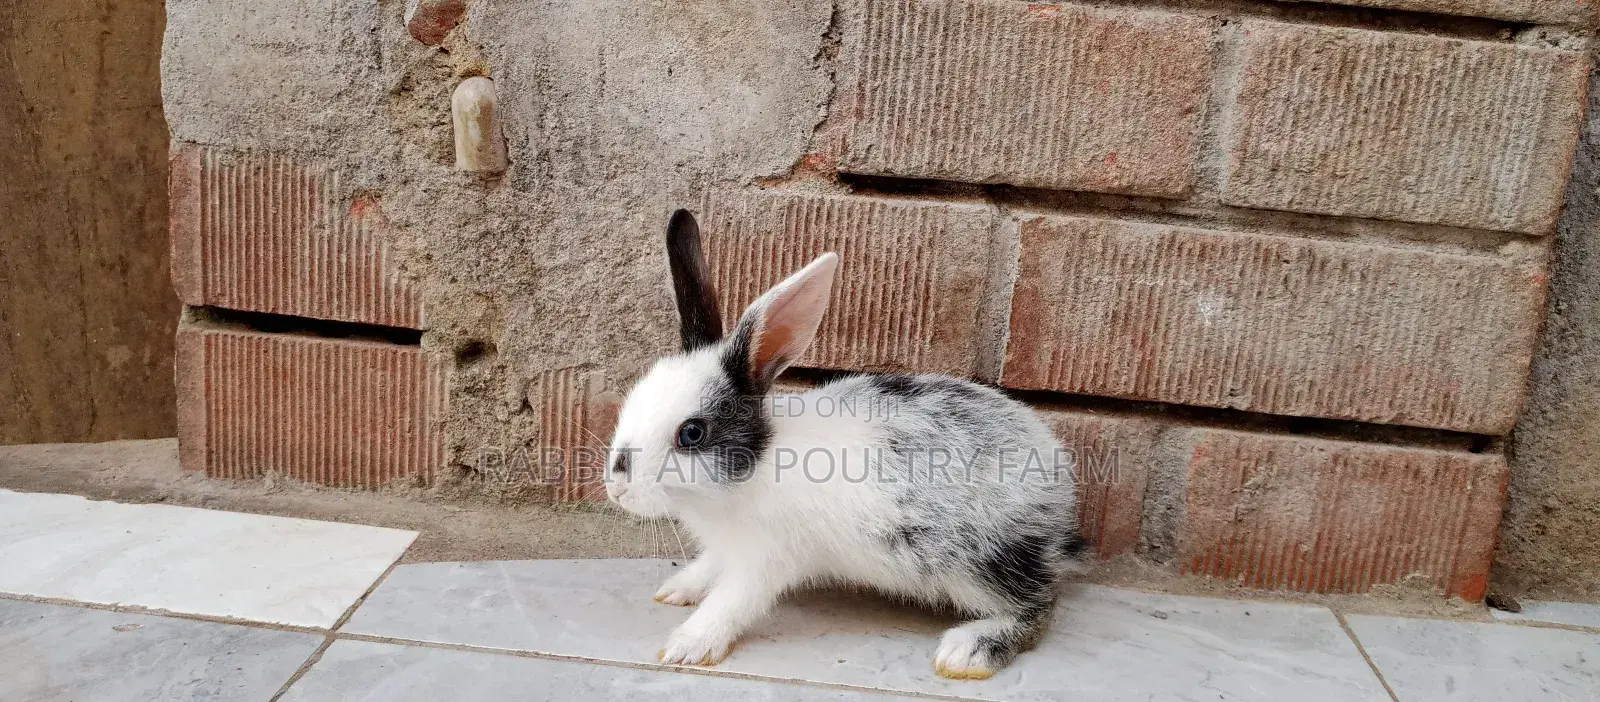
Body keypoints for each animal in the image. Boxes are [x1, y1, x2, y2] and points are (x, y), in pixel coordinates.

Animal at [603, 208, 1087, 680]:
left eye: (692, 433)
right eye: (635, 397)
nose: (616, 487)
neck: (752, 470)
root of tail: (1059, 487)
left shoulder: (766, 559)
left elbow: (731, 603)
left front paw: (686, 647)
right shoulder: (725, 548)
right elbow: (708, 567)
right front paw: (676, 590)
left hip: (980, 564)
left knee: (1038, 609)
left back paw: (969, 653)